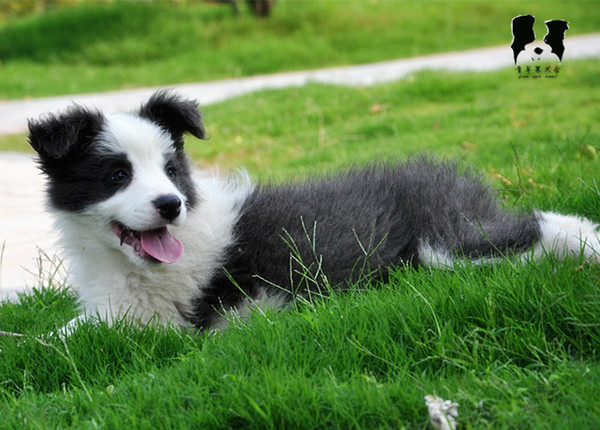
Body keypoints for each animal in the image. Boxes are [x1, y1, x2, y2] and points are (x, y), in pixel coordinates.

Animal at [27, 90, 600, 332]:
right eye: (117, 175)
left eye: (170, 170)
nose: (171, 204)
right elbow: (61, 333)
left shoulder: (162, 324)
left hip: (447, 239)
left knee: (535, 228)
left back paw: (585, 244)